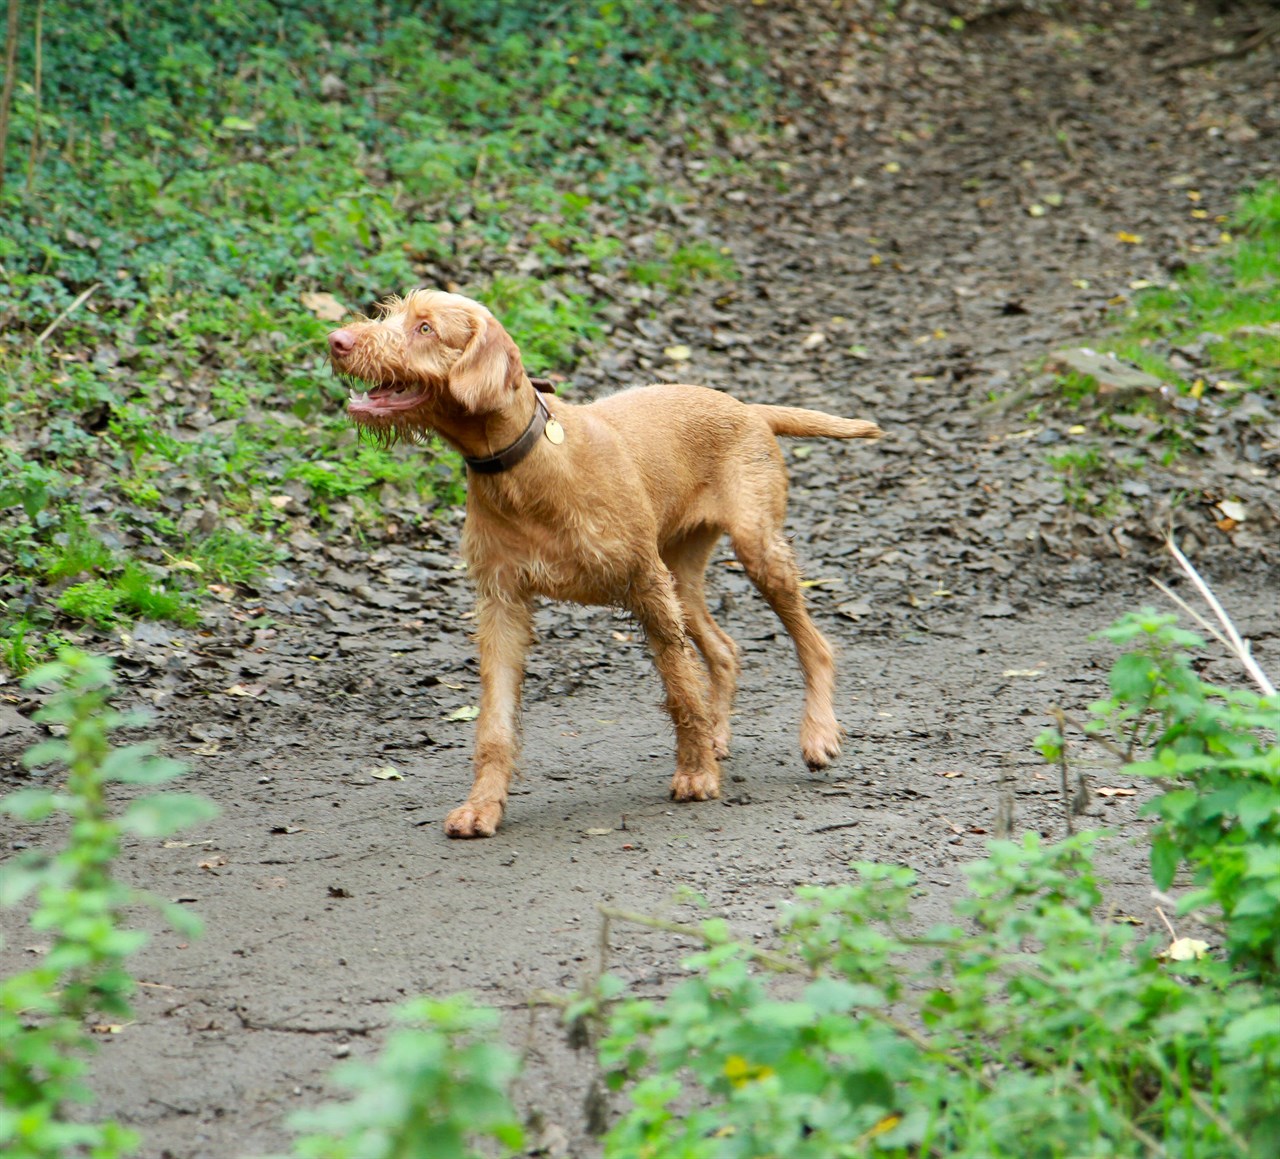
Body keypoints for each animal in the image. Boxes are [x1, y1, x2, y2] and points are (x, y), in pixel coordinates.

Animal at [327, 288, 880, 829]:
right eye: (388, 313)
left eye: (425, 327)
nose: (337, 340)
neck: (525, 468)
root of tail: (747, 407)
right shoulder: (502, 602)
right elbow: (494, 721)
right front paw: (483, 805)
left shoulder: (645, 585)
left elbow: (681, 689)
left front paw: (696, 774)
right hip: (681, 575)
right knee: (724, 651)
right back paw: (719, 735)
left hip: (756, 551)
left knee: (814, 645)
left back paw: (817, 734)